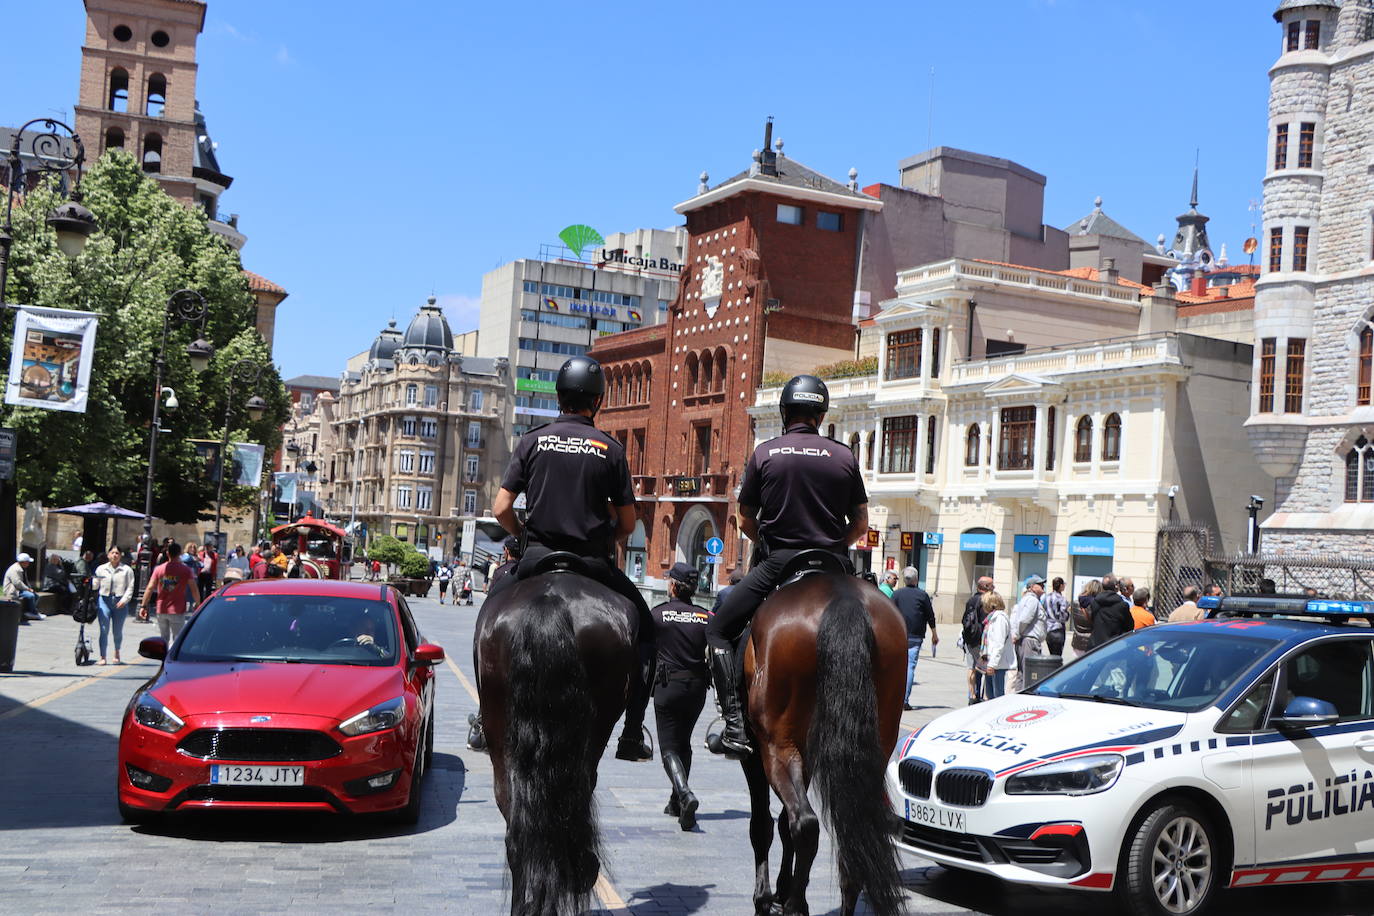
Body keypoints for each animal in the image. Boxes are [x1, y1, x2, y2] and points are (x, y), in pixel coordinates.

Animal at [741, 574, 912, 916]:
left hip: (776, 747)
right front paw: (781, 889)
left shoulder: (753, 753)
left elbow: (764, 824)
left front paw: (765, 897)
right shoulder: (804, 755)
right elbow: (782, 822)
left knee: (805, 823)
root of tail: (843, 599)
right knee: (854, 828)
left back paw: (795, 905)